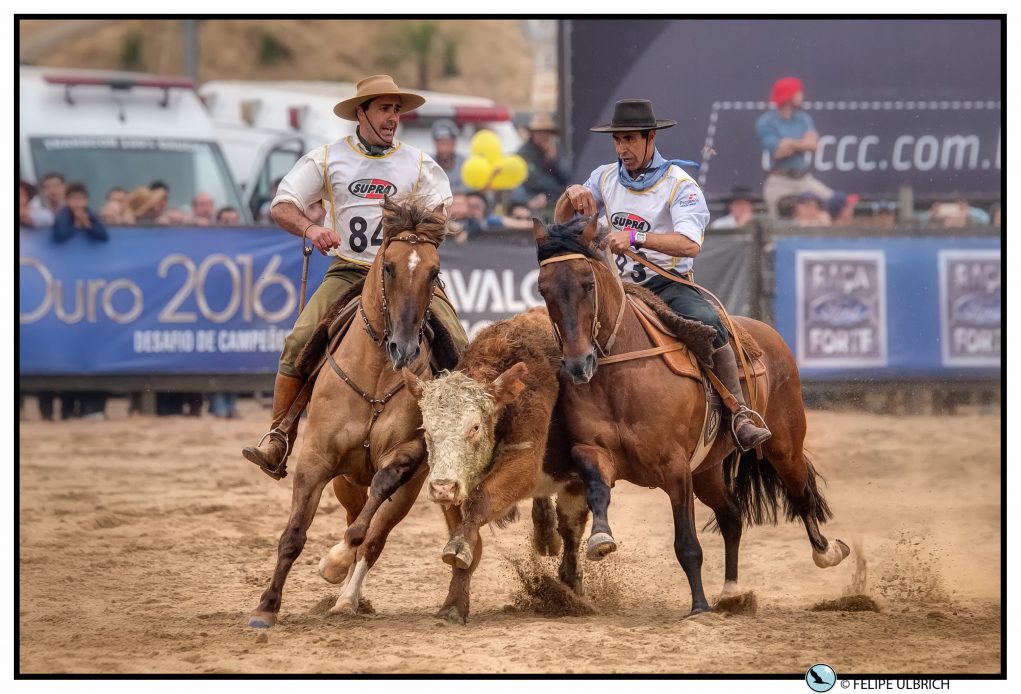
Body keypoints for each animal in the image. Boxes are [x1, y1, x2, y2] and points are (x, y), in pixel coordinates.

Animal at [253, 196, 461, 628]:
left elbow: (369, 519)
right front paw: (266, 606)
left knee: (372, 536)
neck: (378, 373)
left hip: (406, 491)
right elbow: (294, 534)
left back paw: (348, 596)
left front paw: (333, 563)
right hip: (346, 481)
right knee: (353, 515)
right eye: (389, 267)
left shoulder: (405, 456)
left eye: (434, 272)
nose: (404, 348)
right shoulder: (316, 459)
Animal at [530, 214, 849, 616]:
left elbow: (687, 543)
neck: (621, 372)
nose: (577, 365)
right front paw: (600, 538)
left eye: (588, 284)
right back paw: (731, 592)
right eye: (544, 289)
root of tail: (767, 333)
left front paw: (698, 607)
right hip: (708, 471)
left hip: (783, 445)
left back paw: (826, 552)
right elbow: (598, 492)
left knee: (801, 492)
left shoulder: (675, 467)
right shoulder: (592, 451)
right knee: (731, 516)